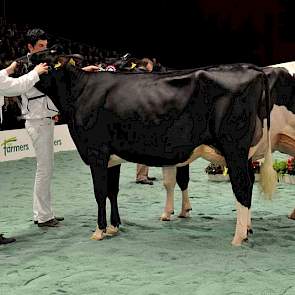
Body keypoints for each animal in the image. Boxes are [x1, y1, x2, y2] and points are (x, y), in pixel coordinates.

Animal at [30, 49, 295, 246]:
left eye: (42, 61)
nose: (25, 63)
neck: (80, 92)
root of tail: (253, 69)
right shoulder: (112, 157)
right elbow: (114, 191)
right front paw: (115, 227)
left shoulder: (96, 152)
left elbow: (99, 192)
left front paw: (99, 231)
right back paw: (249, 229)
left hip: (235, 148)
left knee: (243, 186)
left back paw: (239, 237)